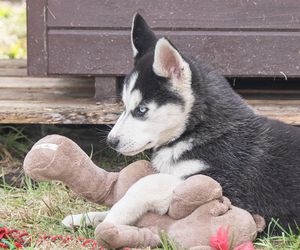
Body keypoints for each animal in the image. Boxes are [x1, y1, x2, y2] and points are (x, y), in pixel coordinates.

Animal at [64, 14, 298, 231]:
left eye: (141, 109)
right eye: (124, 105)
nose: (111, 141)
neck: (197, 131)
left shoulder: (221, 184)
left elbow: (147, 183)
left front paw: (113, 218)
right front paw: (86, 217)